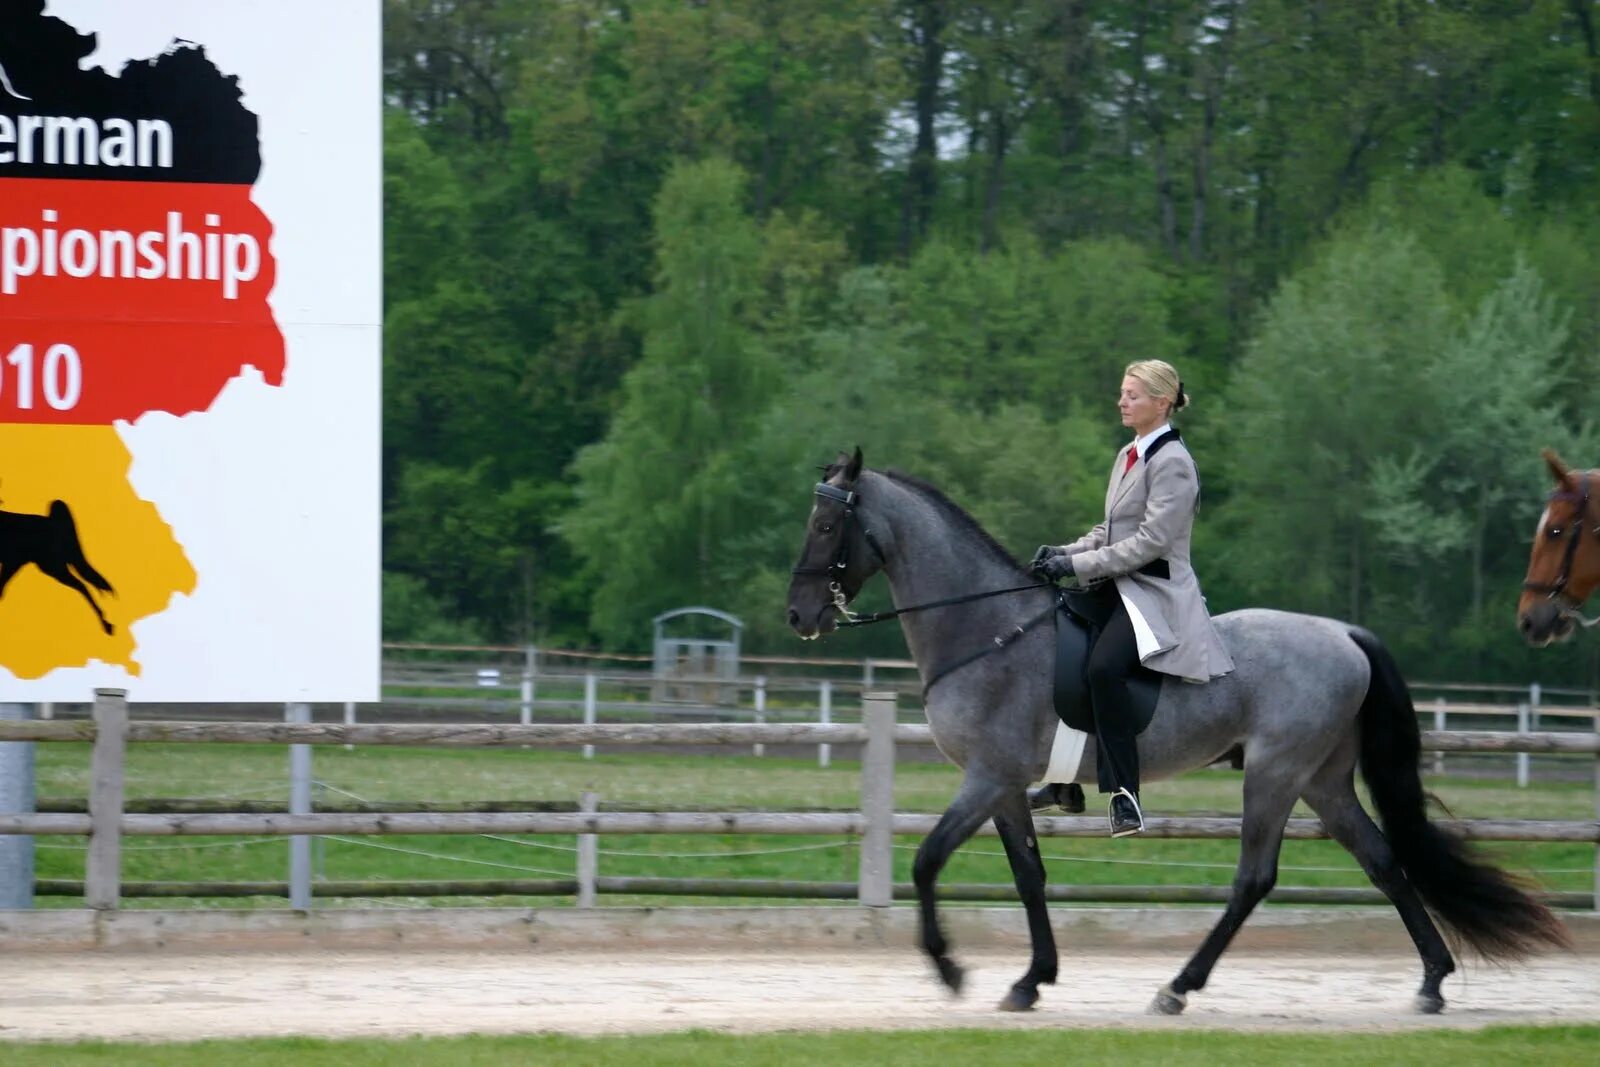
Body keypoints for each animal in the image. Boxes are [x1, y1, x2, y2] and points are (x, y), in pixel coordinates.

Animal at [780, 451, 1568, 1017]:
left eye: (825, 527)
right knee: (1383, 860)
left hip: (1274, 773)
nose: (798, 615)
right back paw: (1432, 979)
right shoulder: (1002, 787)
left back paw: (1178, 987)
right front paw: (1033, 979)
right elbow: (1029, 875)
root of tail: (1344, 632)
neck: (985, 628)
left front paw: (948, 968)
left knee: (1254, 878)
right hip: (1321, 780)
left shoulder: (985, 777)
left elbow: (927, 860)